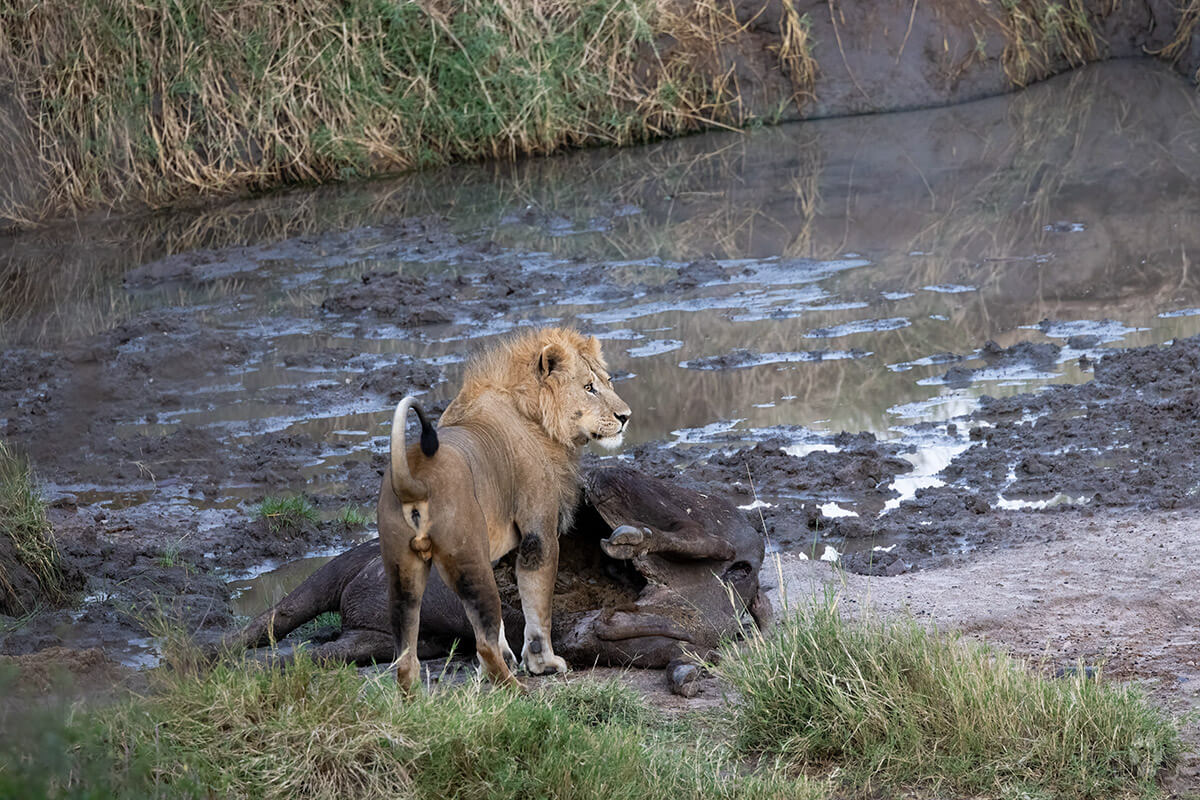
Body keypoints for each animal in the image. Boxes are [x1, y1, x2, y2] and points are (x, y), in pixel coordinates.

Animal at [381, 327, 631, 688]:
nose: (625, 417)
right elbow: (538, 606)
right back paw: (516, 690)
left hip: (403, 574)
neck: (534, 415)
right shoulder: (539, 533)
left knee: (406, 657)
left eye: (608, 381)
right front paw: (543, 663)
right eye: (588, 387)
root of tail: (415, 478)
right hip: (468, 558)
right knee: (482, 643)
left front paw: (511, 659)